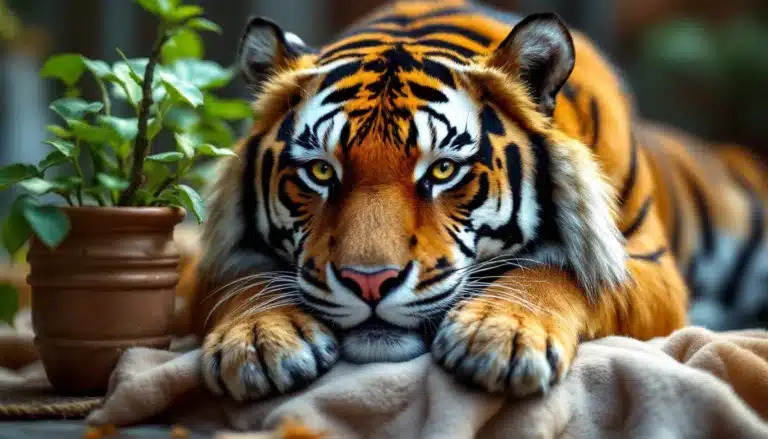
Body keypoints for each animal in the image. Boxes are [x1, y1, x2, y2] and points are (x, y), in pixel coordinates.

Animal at [185, 0, 768, 401]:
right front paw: (258, 342)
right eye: (321, 171)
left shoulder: (643, 263)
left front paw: (501, 337)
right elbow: (243, 279)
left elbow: (559, 271)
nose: (369, 282)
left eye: (443, 170)